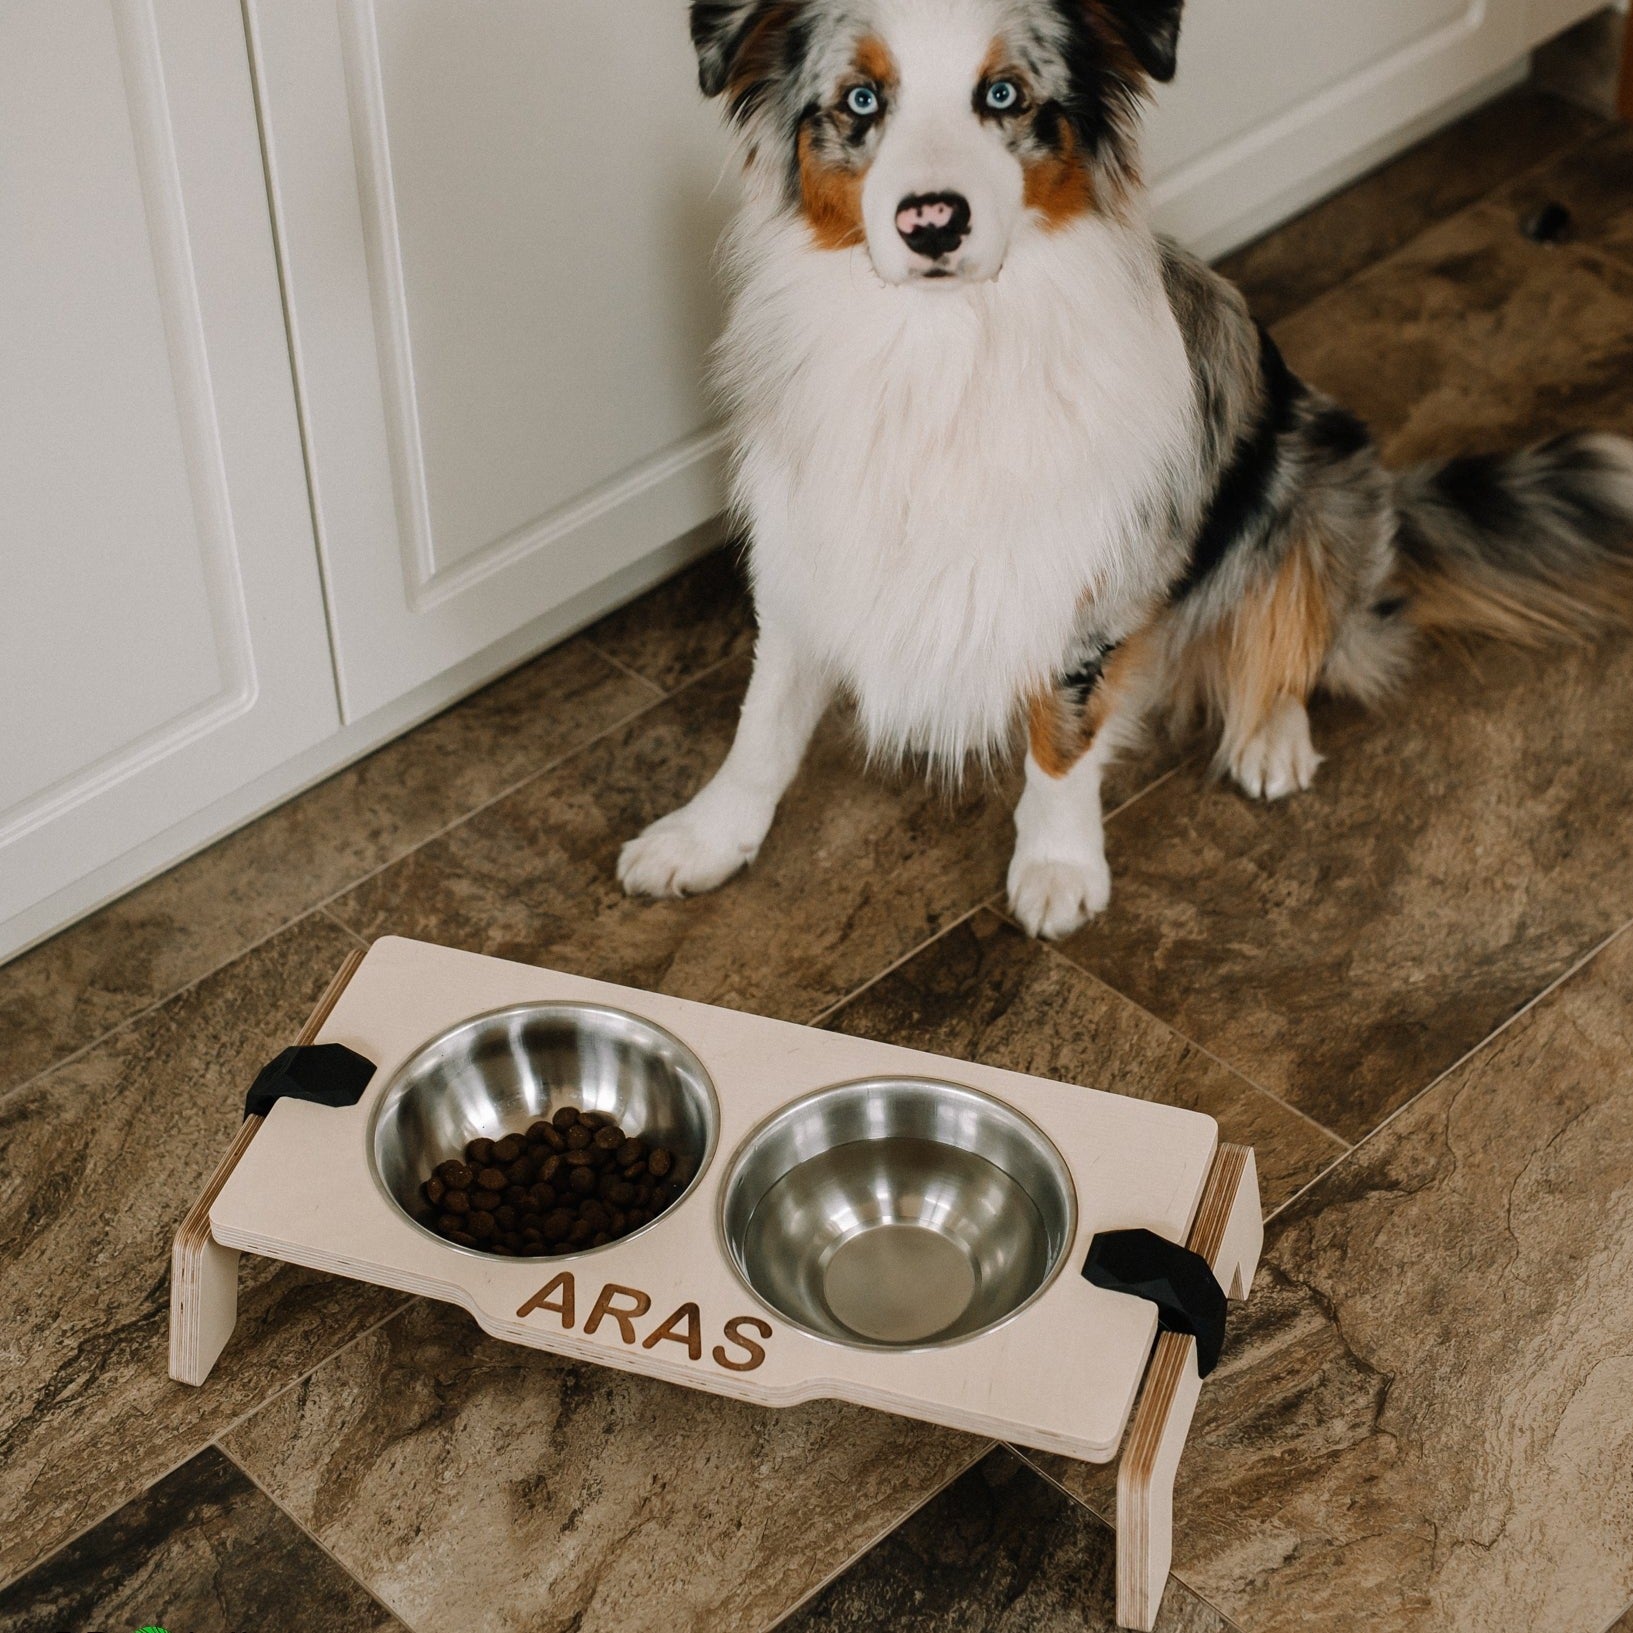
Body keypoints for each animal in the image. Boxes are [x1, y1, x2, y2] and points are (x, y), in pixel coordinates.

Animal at [617, 0, 1633, 940]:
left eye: (1004, 95)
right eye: (860, 99)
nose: (932, 222)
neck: (942, 350)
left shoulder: (1088, 579)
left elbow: (1061, 742)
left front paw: (1058, 867)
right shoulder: (807, 546)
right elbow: (762, 720)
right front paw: (704, 837)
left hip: (1315, 473)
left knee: (1305, 634)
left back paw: (1270, 735)